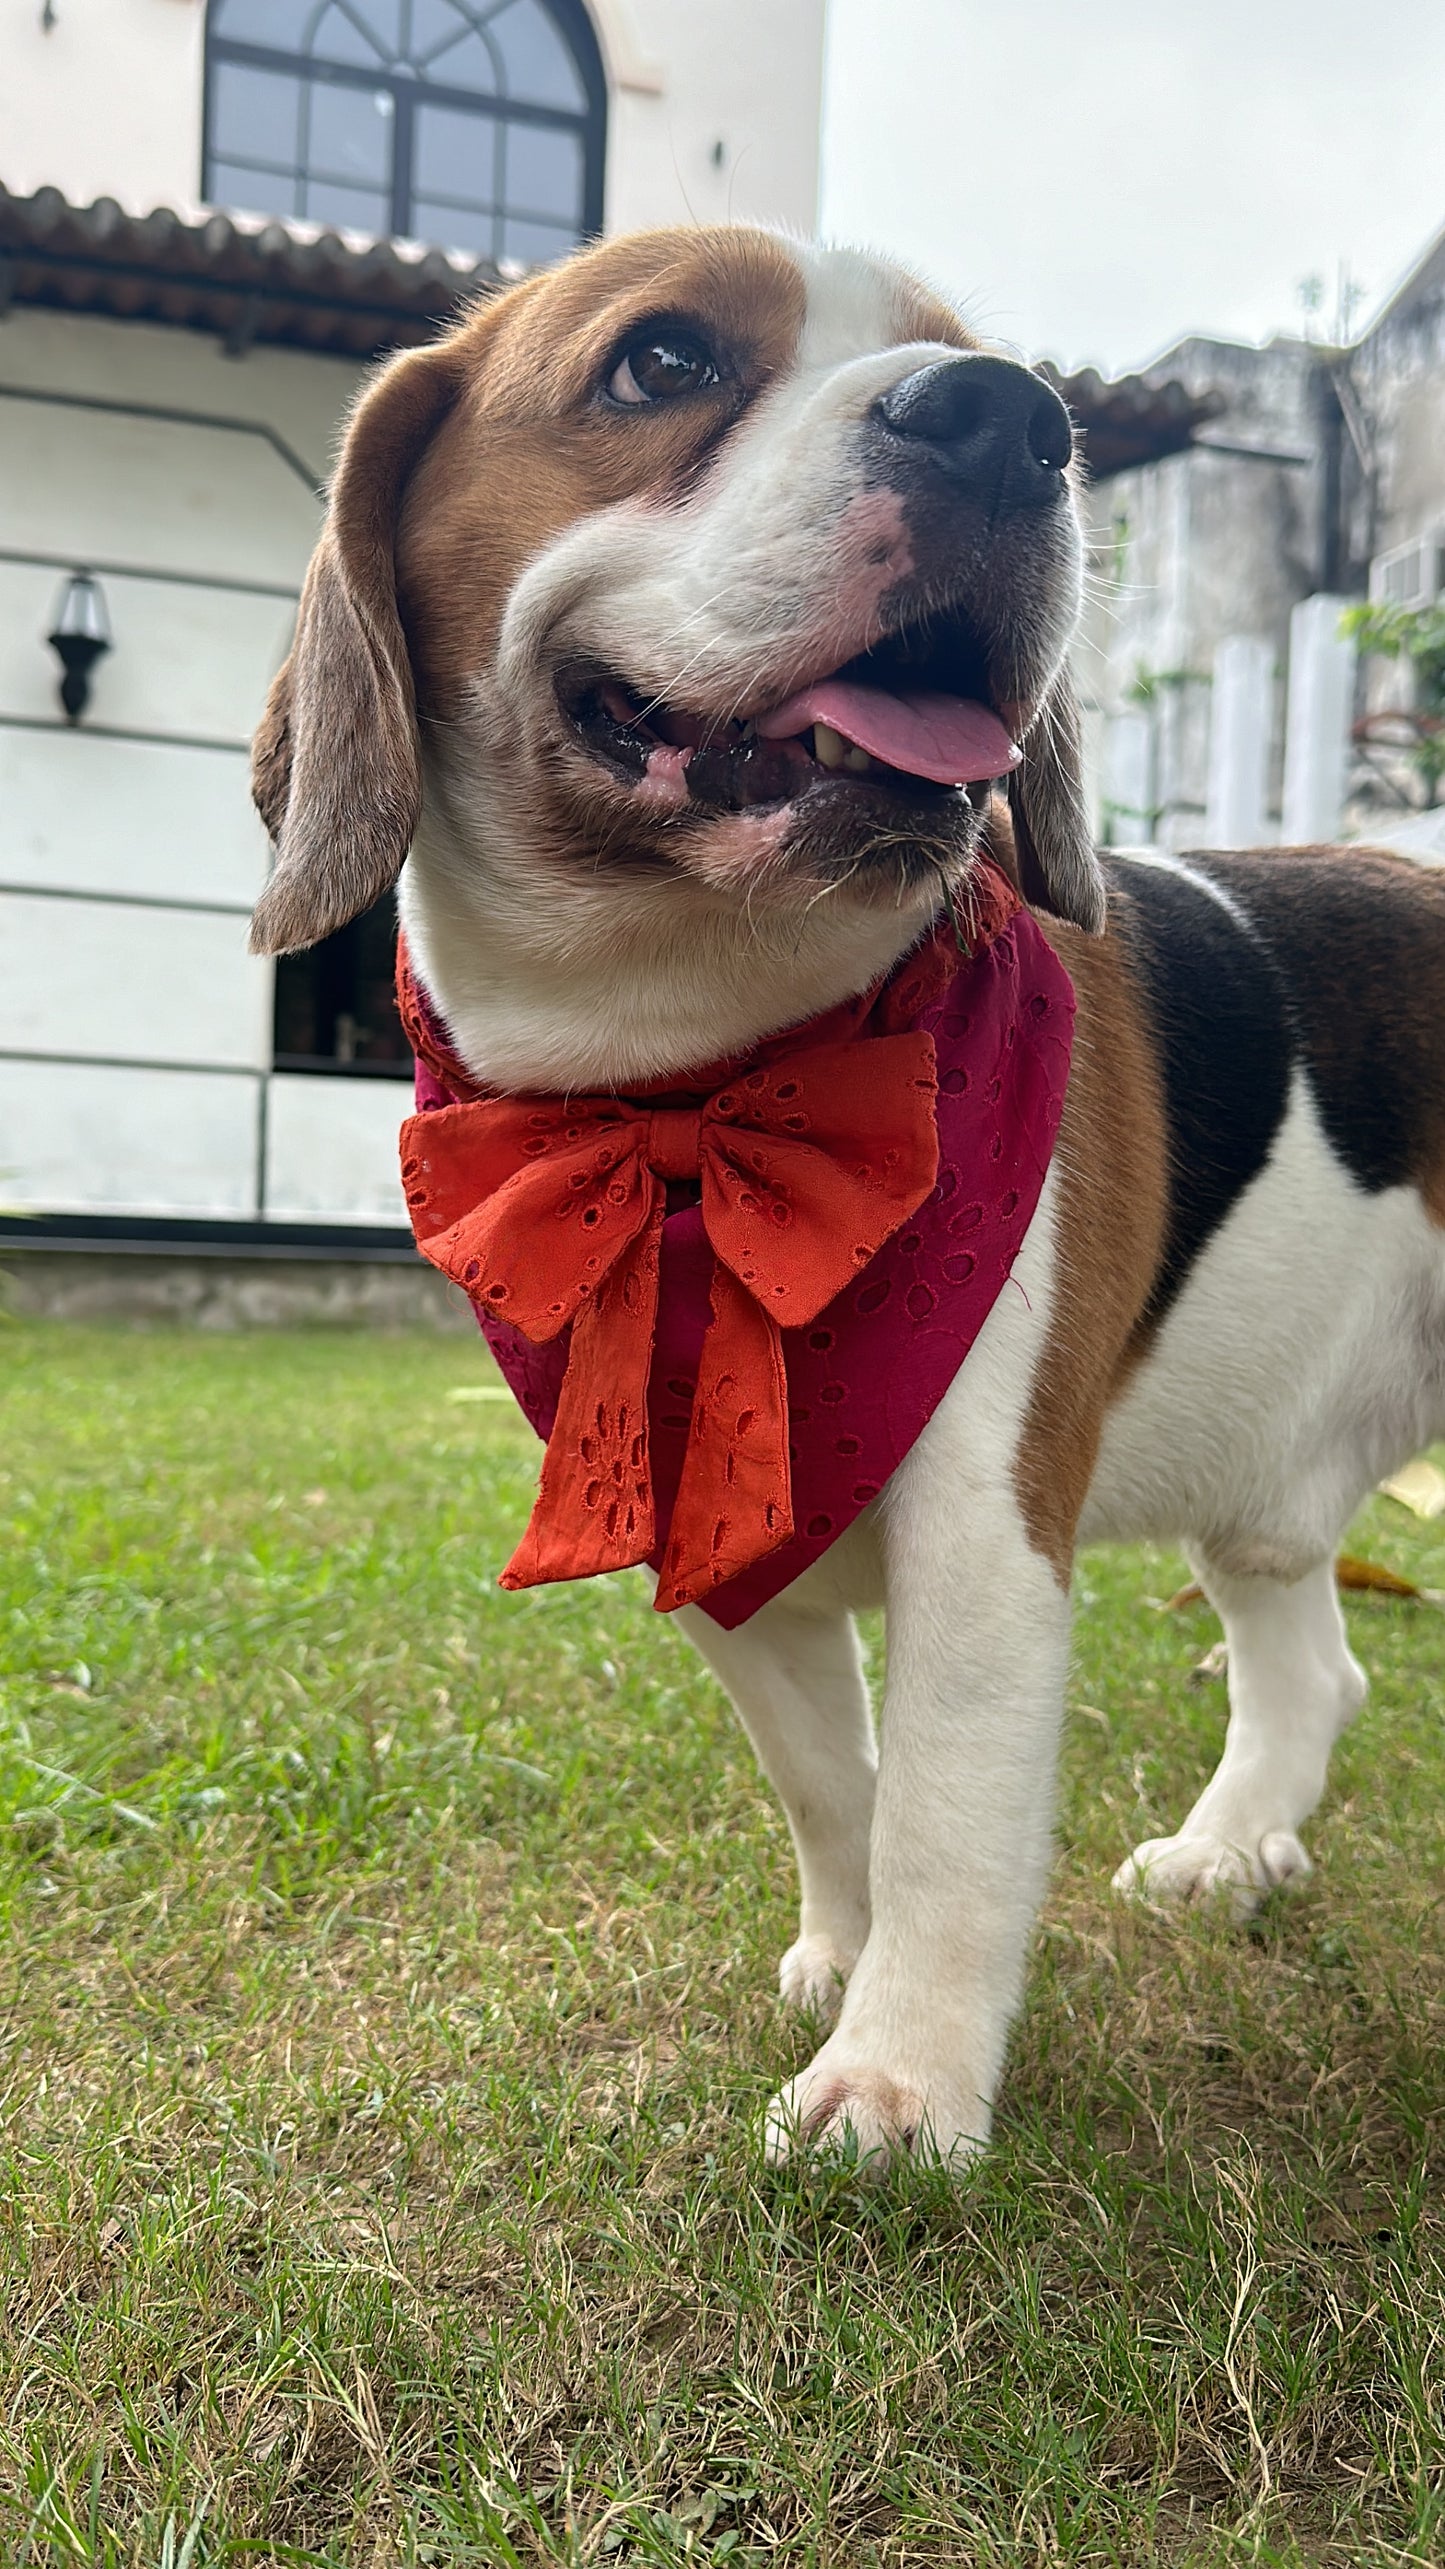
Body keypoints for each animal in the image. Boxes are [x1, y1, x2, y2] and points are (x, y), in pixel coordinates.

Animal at [246, 231, 1439, 2178]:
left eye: (990, 368)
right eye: (658, 361)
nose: (1014, 422)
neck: (700, 1087)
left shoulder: (989, 1537)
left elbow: (947, 1810)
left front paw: (900, 2081)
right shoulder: (717, 1537)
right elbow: (832, 1785)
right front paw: (845, 1950)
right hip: (1265, 1473)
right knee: (1306, 1661)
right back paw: (1232, 1846)